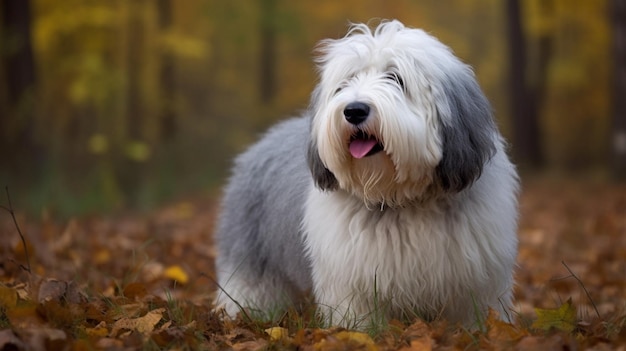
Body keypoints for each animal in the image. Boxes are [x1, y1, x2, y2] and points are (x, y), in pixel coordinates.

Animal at [214, 20, 516, 330]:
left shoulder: (474, 283)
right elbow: (360, 322)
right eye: (345, 83)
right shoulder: (354, 283)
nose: (354, 110)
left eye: (396, 78)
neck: (398, 198)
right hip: (252, 256)